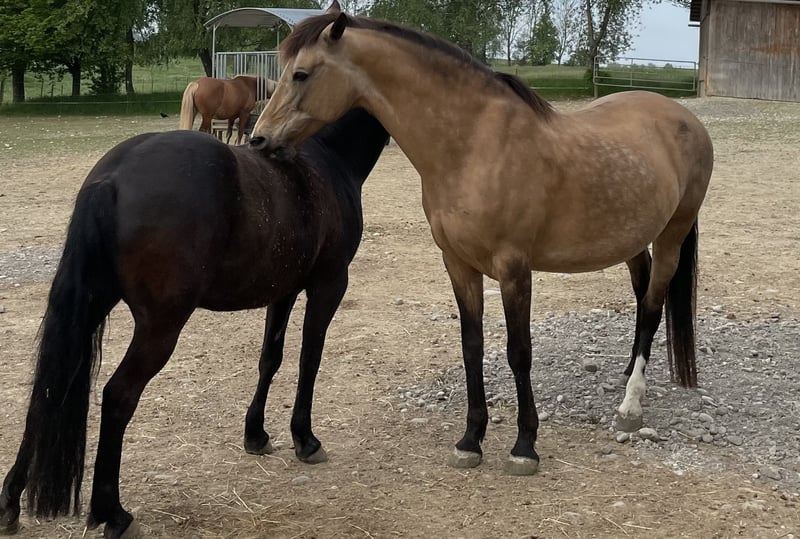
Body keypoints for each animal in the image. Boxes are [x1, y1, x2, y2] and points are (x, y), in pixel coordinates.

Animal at [0, 108, 388, 538]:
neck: (325, 156)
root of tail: (112, 177)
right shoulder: (329, 285)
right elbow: (310, 360)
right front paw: (305, 439)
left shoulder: (283, 291)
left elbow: (270, 359)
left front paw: (256, 434)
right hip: (161, 327)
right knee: (119, 395)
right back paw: (113, 513)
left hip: (91, 307)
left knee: (50, 389)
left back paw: (11, 501)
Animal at [249, 10, 714, 476]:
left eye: (301, 73)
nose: (258, 140)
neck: (473, 145)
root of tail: (685, 119)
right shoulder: (458, 264)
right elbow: (472, 346)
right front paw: (471, 440)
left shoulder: (514, 268)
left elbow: (519, 351)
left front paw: (525, 445)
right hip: (632, 240)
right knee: (641, 295)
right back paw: (627, 374)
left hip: (672, 235)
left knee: (652, 305)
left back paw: (631, 405)